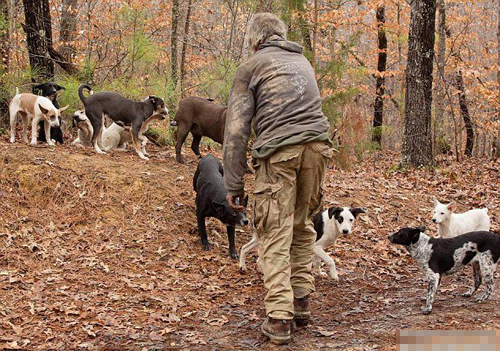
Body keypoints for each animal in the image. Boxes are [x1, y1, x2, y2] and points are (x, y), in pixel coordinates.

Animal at [239, 206, 368, 280]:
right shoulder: (316, 247)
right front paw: (334, 275)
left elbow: (317, 262)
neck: (332, 223)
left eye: (351, 220)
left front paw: (319, 273)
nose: (346, 231)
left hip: (257, 240)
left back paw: (243, 267)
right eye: (340, 219)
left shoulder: (317, 249)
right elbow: (330, 260)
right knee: (259, 260)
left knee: (244, 248)